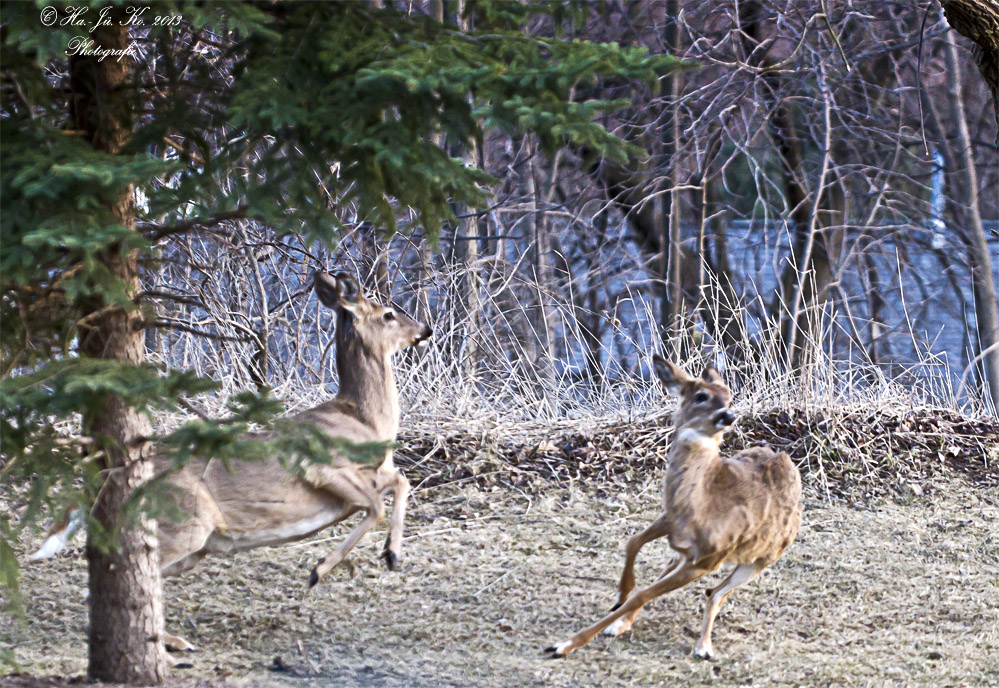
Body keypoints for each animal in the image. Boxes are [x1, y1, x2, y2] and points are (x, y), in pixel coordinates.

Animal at [30, 272, 430, 648]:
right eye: (389, 314)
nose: (424, 330)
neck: (365, 421)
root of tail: (111, 474)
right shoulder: (323, 467)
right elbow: (377, 505)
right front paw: (322, 569)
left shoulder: (373, 473)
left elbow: (401, 481)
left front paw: (390, 554)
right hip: (184, 522)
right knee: (132, 575)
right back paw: (171, 644)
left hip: (193, 544)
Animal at [544, 354, 800, 660]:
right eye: (701, 395)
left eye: (729, 396)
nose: (728, 416)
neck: (705, 501)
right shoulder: (671, 520)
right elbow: (633, 542)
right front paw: (619, 598)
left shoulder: (708, 558)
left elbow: (645, 592)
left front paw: (563, 644)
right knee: (689, 576)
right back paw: (623, 624)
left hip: (760, 559)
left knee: (716, 593)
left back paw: (703, 647)